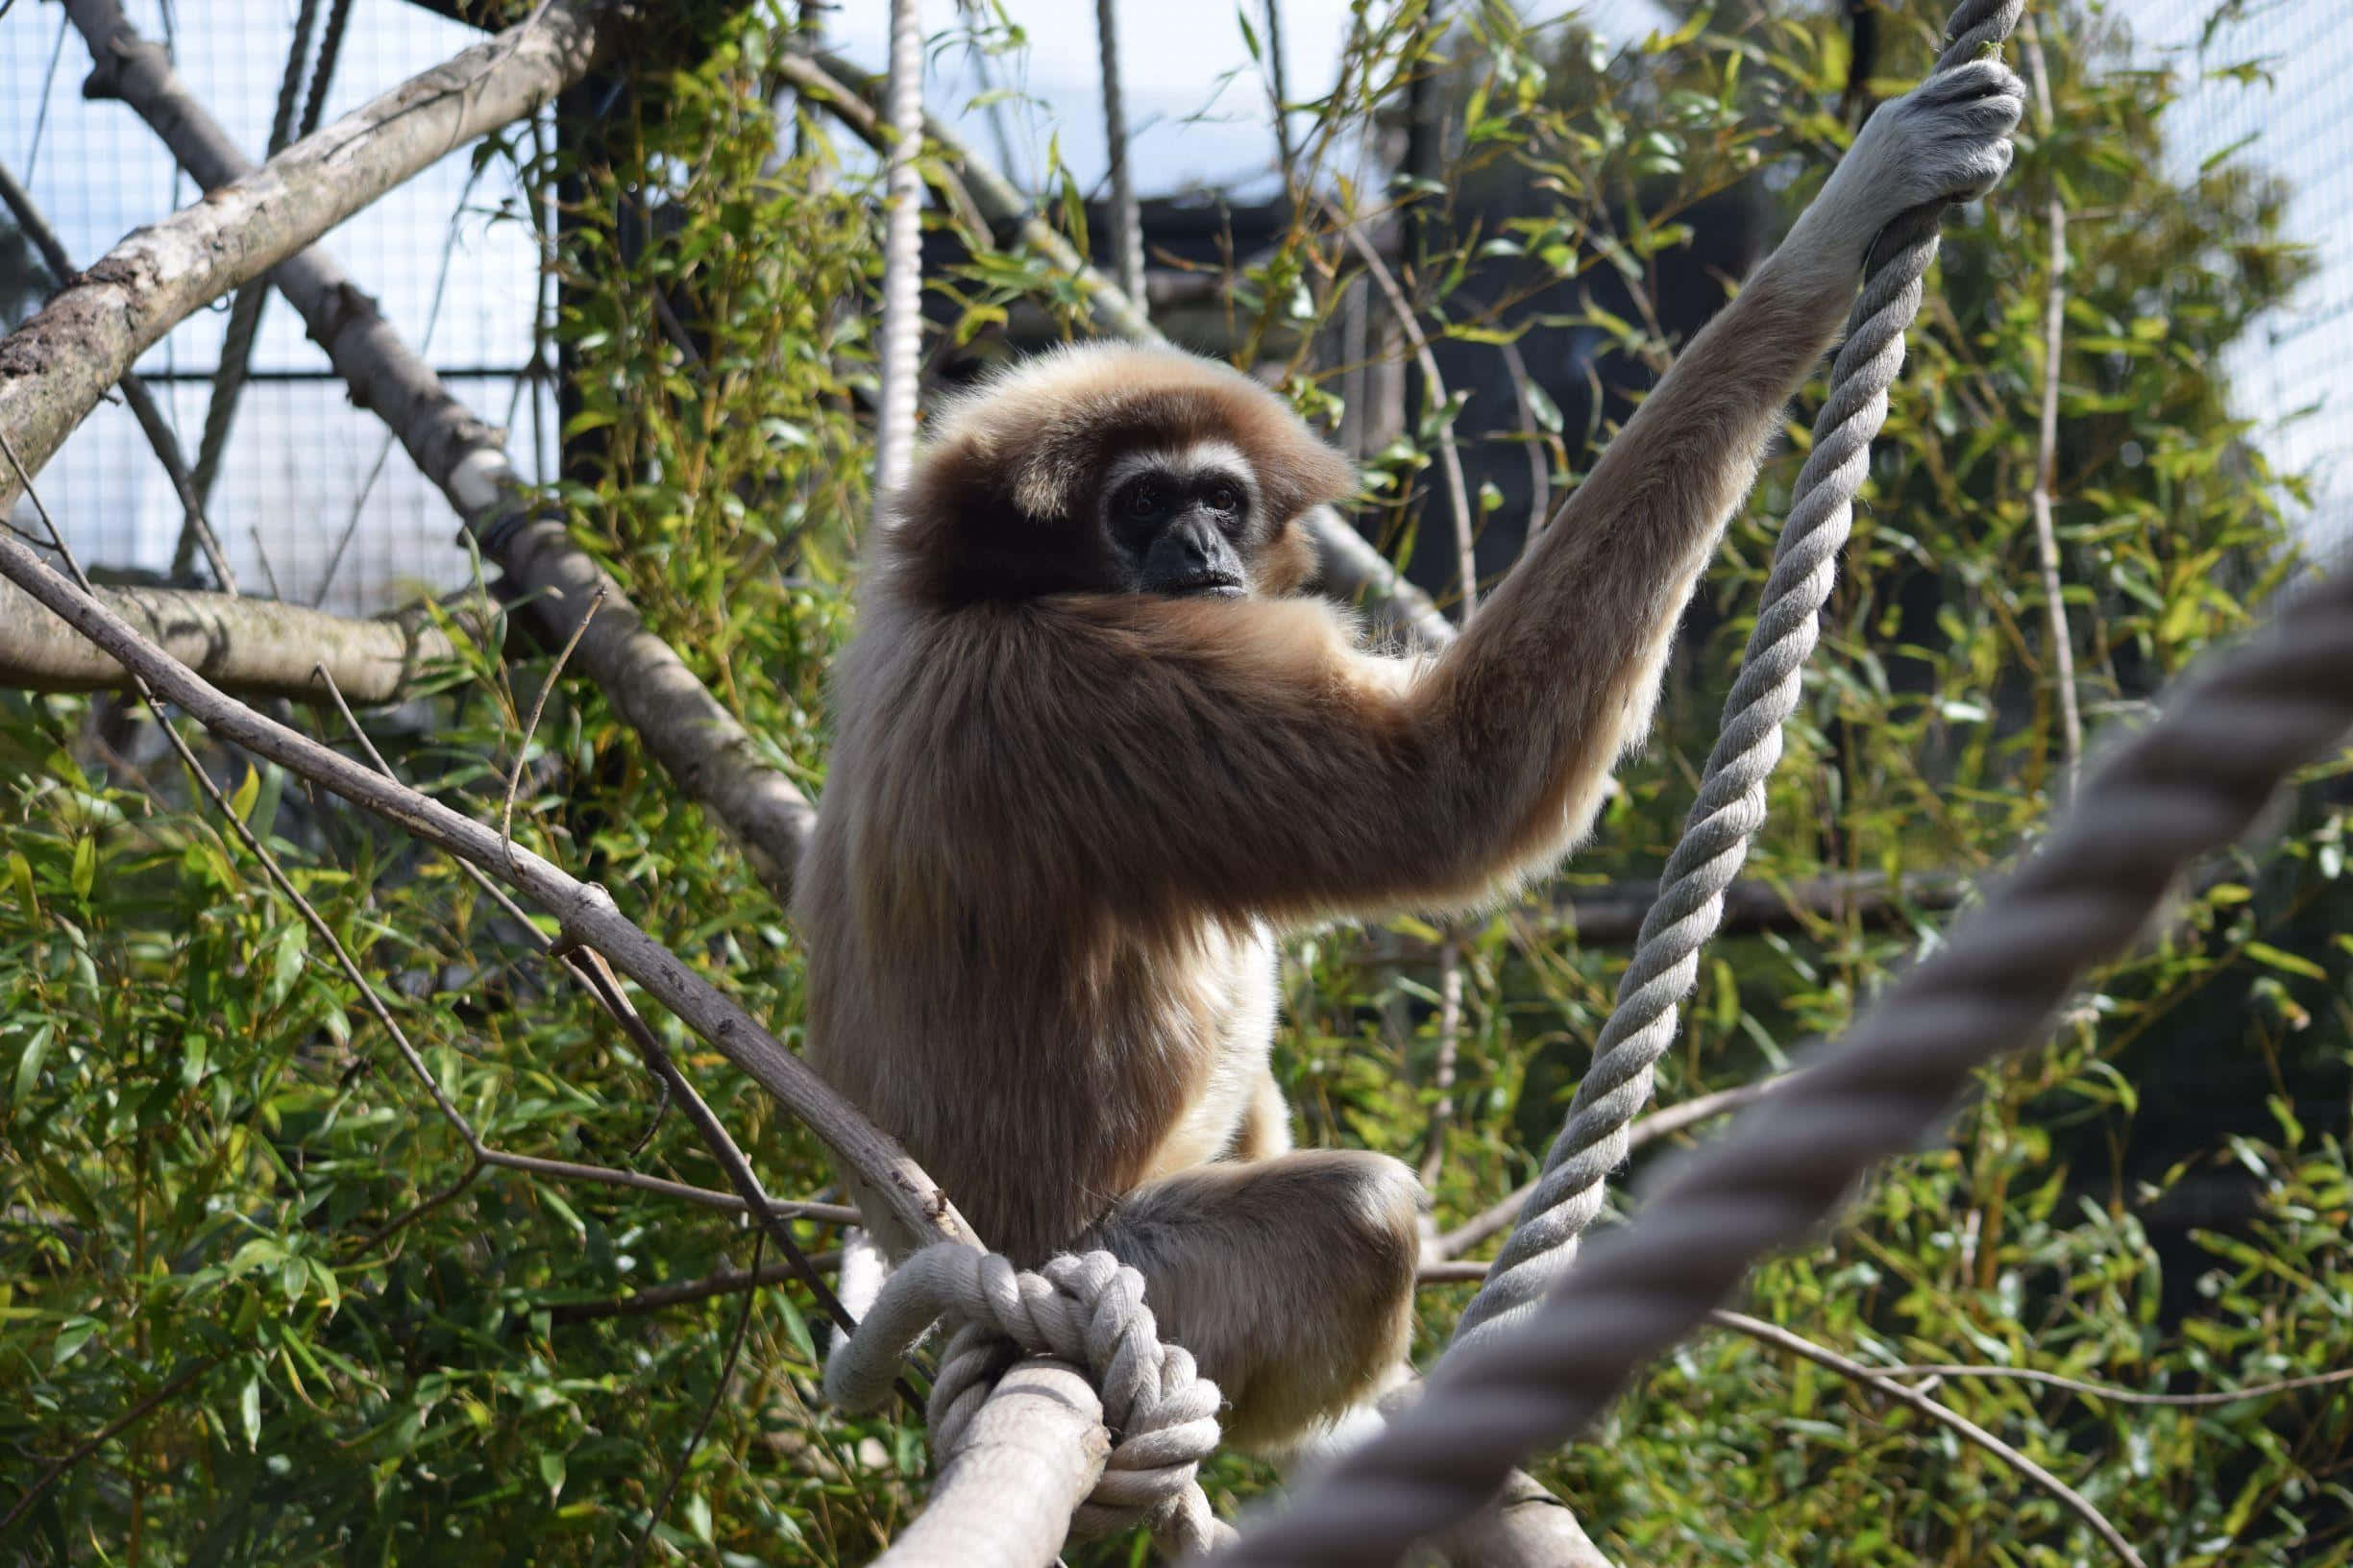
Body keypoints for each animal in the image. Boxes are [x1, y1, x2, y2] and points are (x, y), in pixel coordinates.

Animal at [796, 59, 2023, 1453]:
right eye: (1142, 505)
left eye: (1218, 501)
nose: (1200, 554)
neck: (971, 592)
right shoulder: (1102, 678)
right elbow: (1454, 787)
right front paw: (1836, 222)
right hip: (1142, 1266)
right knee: (1359, 1208)